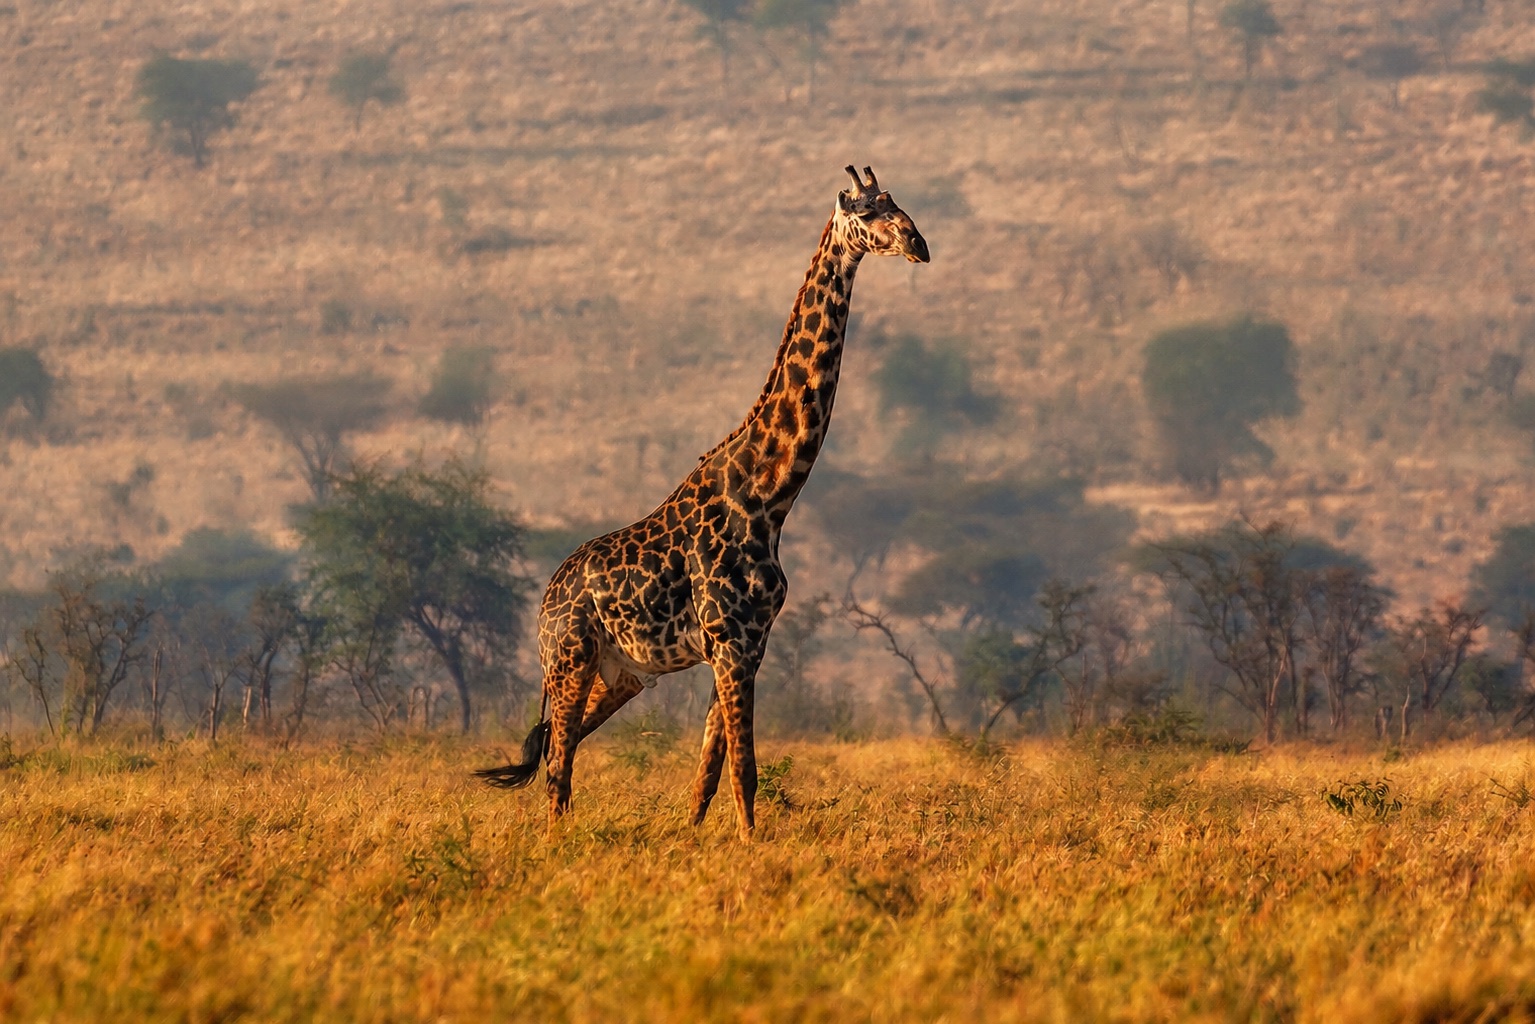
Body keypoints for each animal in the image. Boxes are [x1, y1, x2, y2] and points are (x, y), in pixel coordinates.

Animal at [476, 166, 929, 838]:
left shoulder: (747, 645)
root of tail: (546, 599)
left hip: (622, 674)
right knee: (557, 763)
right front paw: (749, 851)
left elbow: (707, 776)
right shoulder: (732, 641)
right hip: (569, 658)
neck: (770, 497)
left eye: (898, 204)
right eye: (868, 212)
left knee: (563, 746)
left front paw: (695, 846)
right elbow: (744, 769)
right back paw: (554, 844)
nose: (919, 244)